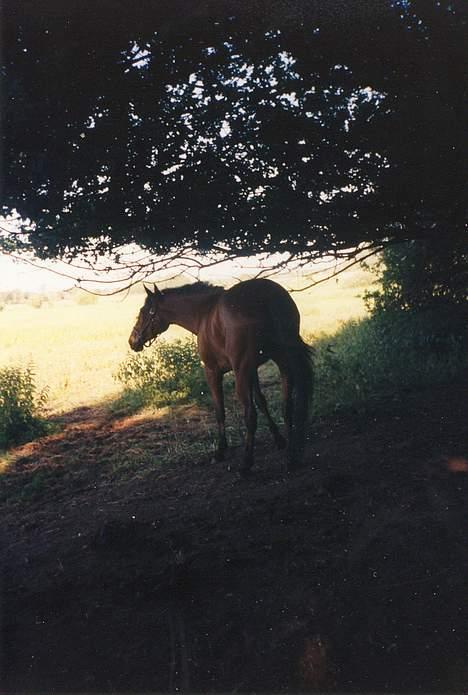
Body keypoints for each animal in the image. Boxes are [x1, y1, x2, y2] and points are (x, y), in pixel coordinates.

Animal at [128, 278, 314, 474]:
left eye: (144, 312)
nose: (133, 341)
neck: (203, 313)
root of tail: (267, 296)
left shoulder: (214, 371)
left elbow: (220, 411)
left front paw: (221, 450)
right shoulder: (251, 370)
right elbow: (261, 401)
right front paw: (279, 439)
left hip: (244, 371)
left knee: (251, 415)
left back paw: (246, 464)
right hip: (282, 361)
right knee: (287, 407)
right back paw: (291, 456)